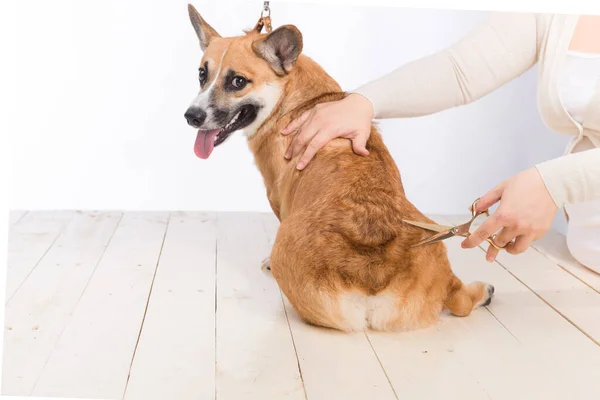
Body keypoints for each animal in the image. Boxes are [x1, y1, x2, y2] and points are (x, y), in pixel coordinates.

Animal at [184, 4, 492, 332]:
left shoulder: (277, 197)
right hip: (434, 243)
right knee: (459, 299)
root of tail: (373, 271)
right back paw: (482, 292)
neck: (290, 97)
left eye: (238, 82)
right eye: (202, 74)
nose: (191, 116)